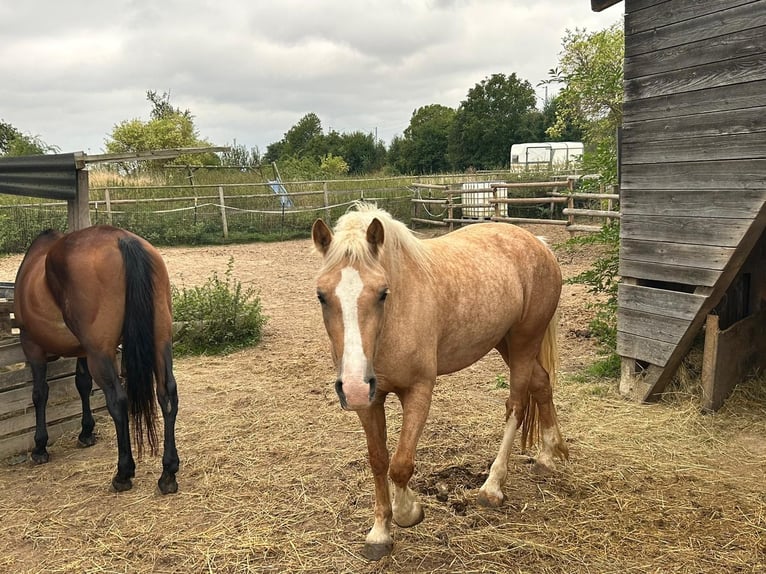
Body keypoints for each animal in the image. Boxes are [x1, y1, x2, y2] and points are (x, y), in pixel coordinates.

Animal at [12, 225, 181, 496]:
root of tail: (122, 239)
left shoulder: (32, 347)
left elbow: (40, 394)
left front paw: (40, 447)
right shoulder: (82, 352)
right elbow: (82, 385)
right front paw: (86, 432)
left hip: (100, 354)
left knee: (118, 401)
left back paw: (123, 473)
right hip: (159, 341)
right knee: (167, 394)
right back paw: (168, 473)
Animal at [312, 206, 568, 564]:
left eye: (382, 293)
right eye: (321, 295)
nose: (353, 387)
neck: (397, 315)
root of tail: (539, 244)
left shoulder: (419, 391)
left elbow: (400, 465)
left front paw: (409, 512)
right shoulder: (370, 400)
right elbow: (378, 460)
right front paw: (379, 533)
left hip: (523, 342)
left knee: (516, 405)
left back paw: (493, 487)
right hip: (506, 342)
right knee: (542, 385)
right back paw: (546, 456)